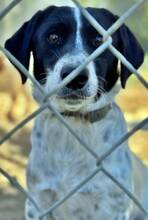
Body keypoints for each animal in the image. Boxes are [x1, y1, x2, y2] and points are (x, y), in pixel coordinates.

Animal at [4, 4, 148, 220]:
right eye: (53, 37)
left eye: (99, 41)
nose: (75, 77)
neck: (74, 123)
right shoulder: (37, 203)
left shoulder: (113, 207)